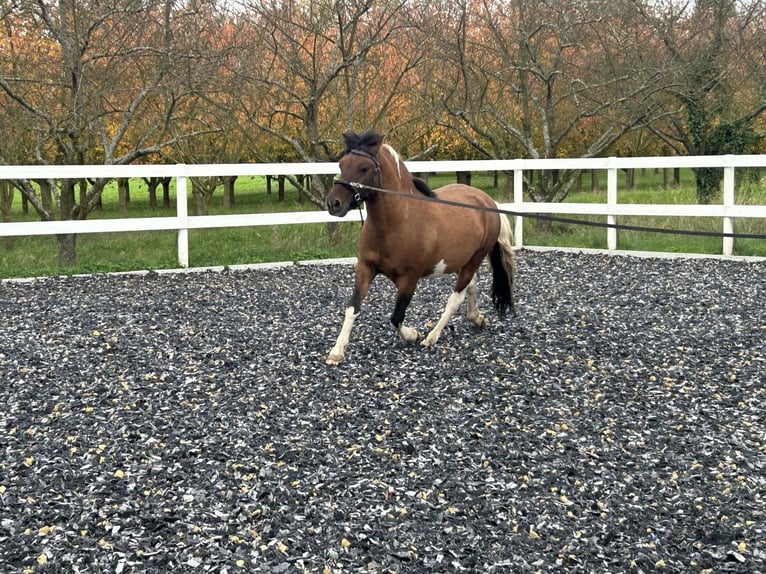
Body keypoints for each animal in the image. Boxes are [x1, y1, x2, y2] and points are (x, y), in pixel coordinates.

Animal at [324, 130, 516, 364]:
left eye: (364, 168)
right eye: (341, 164)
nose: (333, 203)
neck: (397, 222)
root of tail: (488, 201)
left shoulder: (409, 279)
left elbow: (396, 317)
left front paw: (413, 335)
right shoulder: (365, 268)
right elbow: (353, 307)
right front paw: (336, 352)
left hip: (475, 258)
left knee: (456, 297)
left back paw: (432, 337)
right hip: (463, 261)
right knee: (471, 285)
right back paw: (477, 318)